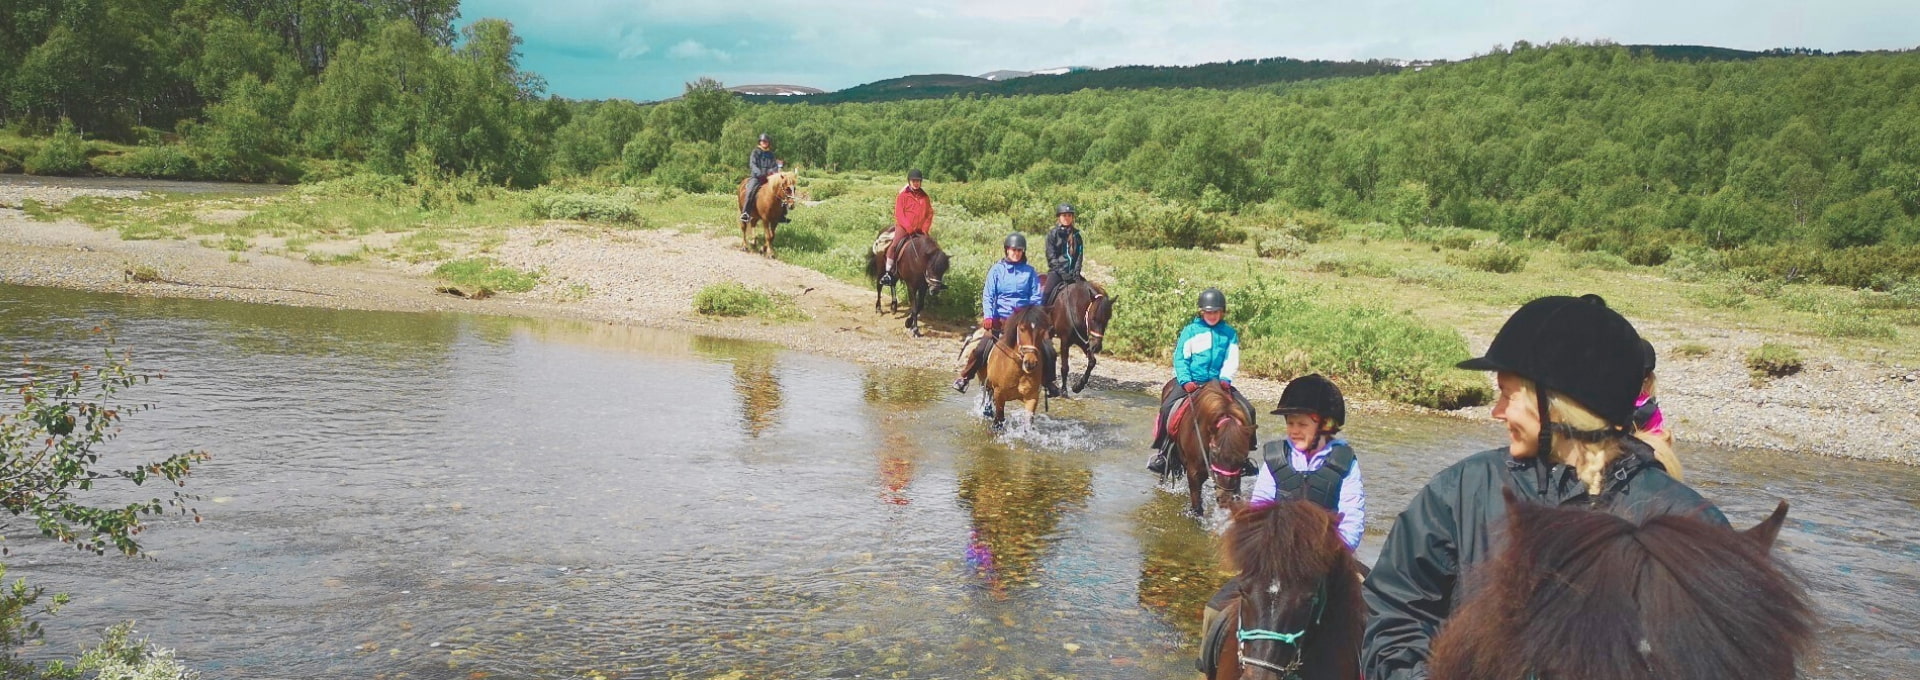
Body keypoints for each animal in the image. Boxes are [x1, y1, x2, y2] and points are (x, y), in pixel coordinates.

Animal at [1152, 380, 1259, 518]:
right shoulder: (1194, 474)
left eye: (1243, 456)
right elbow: (1197, 509)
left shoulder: (1236, 477)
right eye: (1214, 452)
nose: (1225, 498)